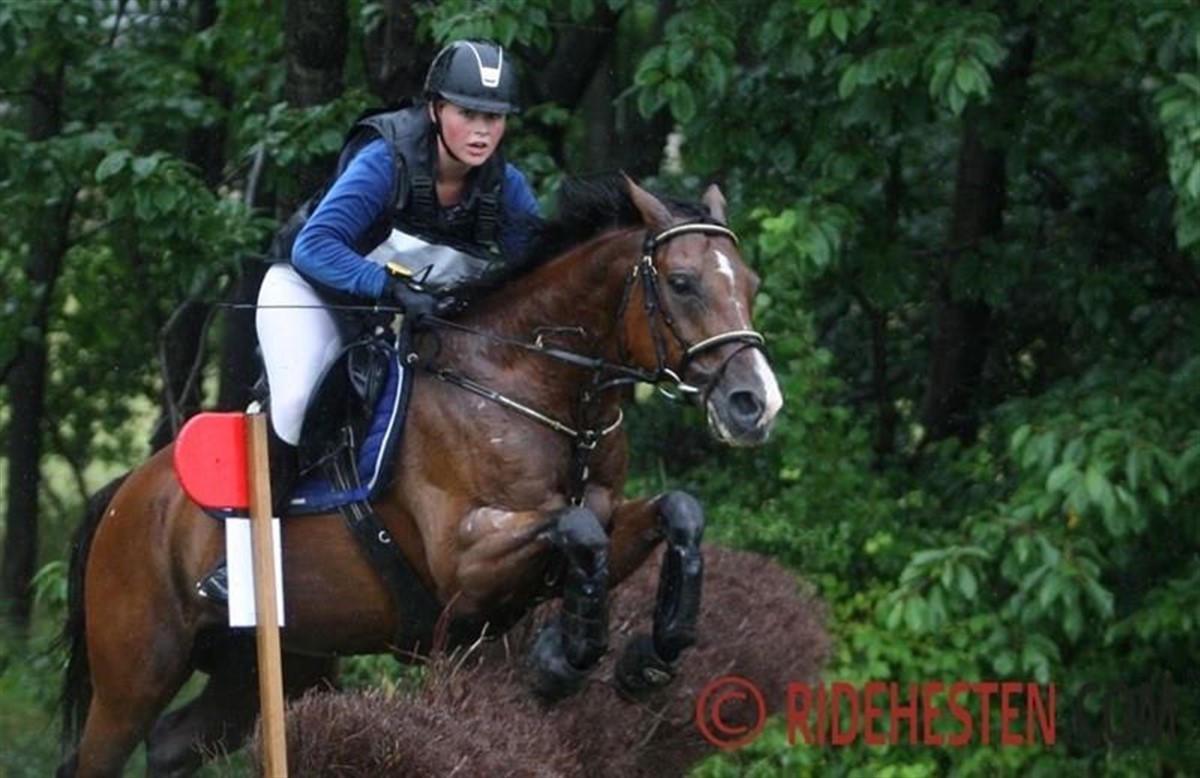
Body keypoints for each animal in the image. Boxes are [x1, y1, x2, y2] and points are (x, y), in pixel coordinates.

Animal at [56, 175, 783, 777]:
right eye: (682, 283)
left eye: (749, 284)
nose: (756, 405)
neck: (534, 387)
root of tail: (124, 494)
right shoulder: (464, 564)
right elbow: (575, 527)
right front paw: (560, 661)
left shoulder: (607, 520)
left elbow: (674, 512)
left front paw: (648, 659)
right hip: (135, 675)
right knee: (102, 753)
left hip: (270, 663)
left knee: (174, 744)